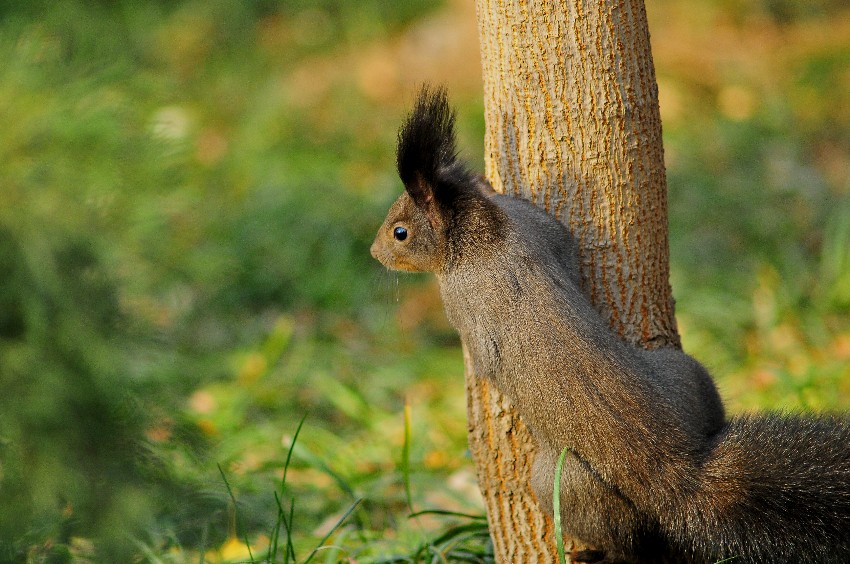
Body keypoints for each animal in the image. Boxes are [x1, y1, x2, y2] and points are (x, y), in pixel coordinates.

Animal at [370, 87, 848, 564]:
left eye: (399, 232)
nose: (375, 253)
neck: (479, 235)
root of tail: (677, 476)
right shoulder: (537, 228)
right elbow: (560, 241)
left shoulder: (460, 300)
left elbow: (482, 353)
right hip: (684, 373)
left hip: (564, 483)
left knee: (622, 538)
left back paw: (600, 553)